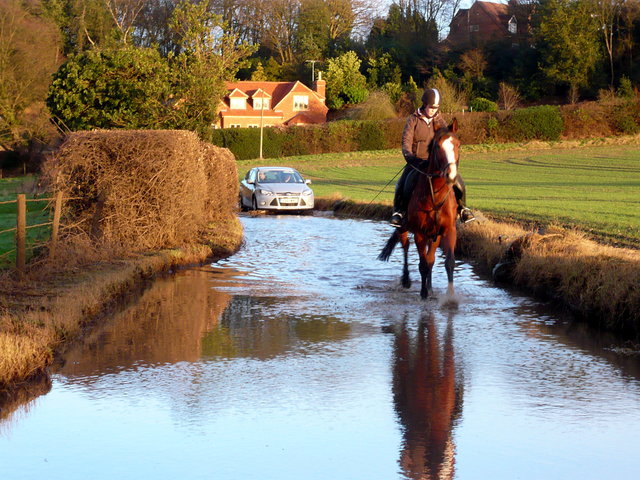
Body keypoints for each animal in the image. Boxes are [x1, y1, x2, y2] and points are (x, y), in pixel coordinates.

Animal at [380, 119, 460, 300]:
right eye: (438, 146)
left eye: (457, 144)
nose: (451, 175)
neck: (436, 195)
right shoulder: (420, 233)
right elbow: (423, 264)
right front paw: (423, 294)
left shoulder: (448, 230)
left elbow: (448, 262)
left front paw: (450, 297)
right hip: (403, 229)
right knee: (406, 247)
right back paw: (406, 280)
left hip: (434, 236)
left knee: (430, 258)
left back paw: (429, 287)